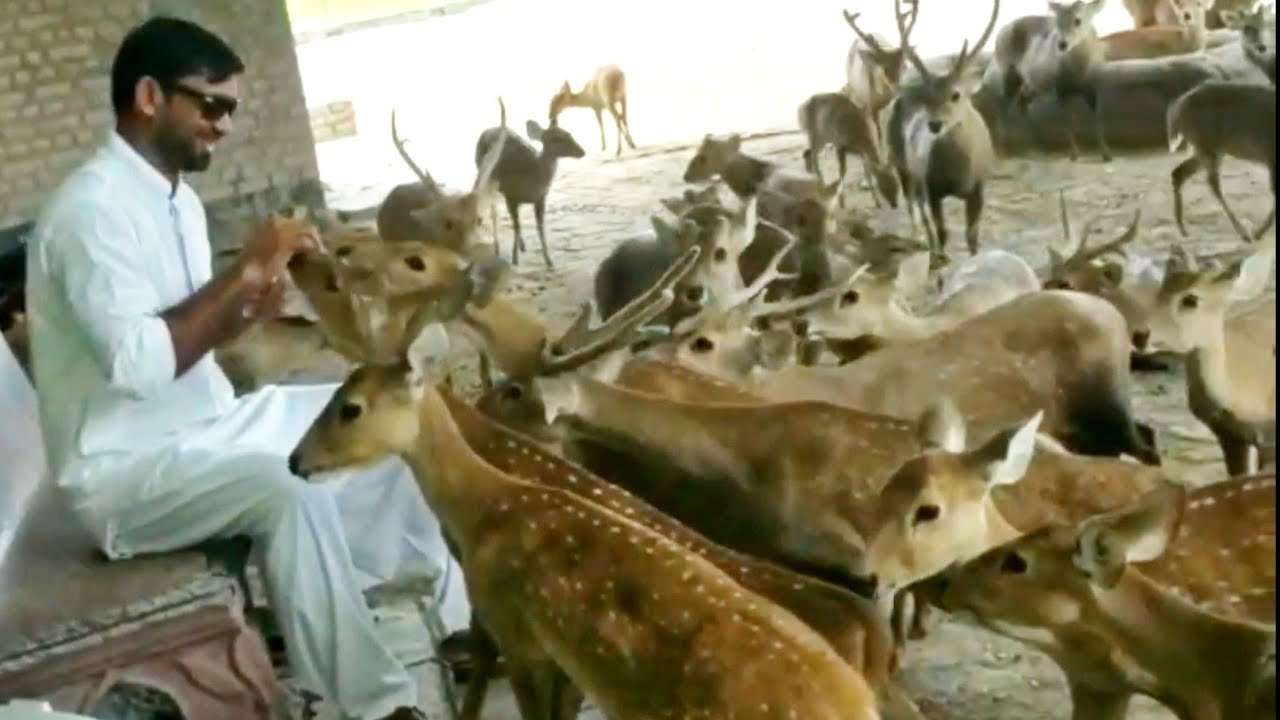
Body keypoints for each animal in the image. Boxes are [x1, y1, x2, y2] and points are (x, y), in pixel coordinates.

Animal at [474, 114, 585, 269]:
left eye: (569, 133)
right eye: (556, 138)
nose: (582, 151)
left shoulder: (540, 198)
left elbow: (540, 228)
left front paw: (549, 261)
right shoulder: (510, 196)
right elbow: (516, 225)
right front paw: (514, 259)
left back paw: (522, 245)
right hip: (486, 176)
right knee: (493, 209)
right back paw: (497, 247)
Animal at [884, 0, 1002, 260]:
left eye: (955, 95)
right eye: (927, 96)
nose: (934, 124)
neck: (960, 173)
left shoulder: (979, 186)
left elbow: (972, 236)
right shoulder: (933, 186)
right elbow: (943, 233)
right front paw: (943, 258)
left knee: (918, 205)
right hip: (901, 162)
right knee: (913, 204)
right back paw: (921, 241)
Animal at [993, 0, 1113, 162]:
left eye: (1078, 20)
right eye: (1058, 22)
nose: (1062, 44)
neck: (1079, 71)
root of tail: (1000, 33)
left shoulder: (1093, 88)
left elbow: (1097, 117)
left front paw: (1106, 153)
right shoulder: (1061, 89)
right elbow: (1068, 120)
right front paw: (1073, 154)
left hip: (1032, 82)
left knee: (1022, 102)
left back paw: (1036, 144)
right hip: (1009, 71)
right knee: (1003, 104)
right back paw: (1005, 146)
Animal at [1167, 78, 1276, 243]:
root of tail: (1177, 108)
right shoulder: (1271, 154)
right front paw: (1258, 233)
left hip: (1204, 148)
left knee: (1179, 173)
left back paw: (1183, 229)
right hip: (1207, 143)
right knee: (1212, 183)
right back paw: (1245, 233)